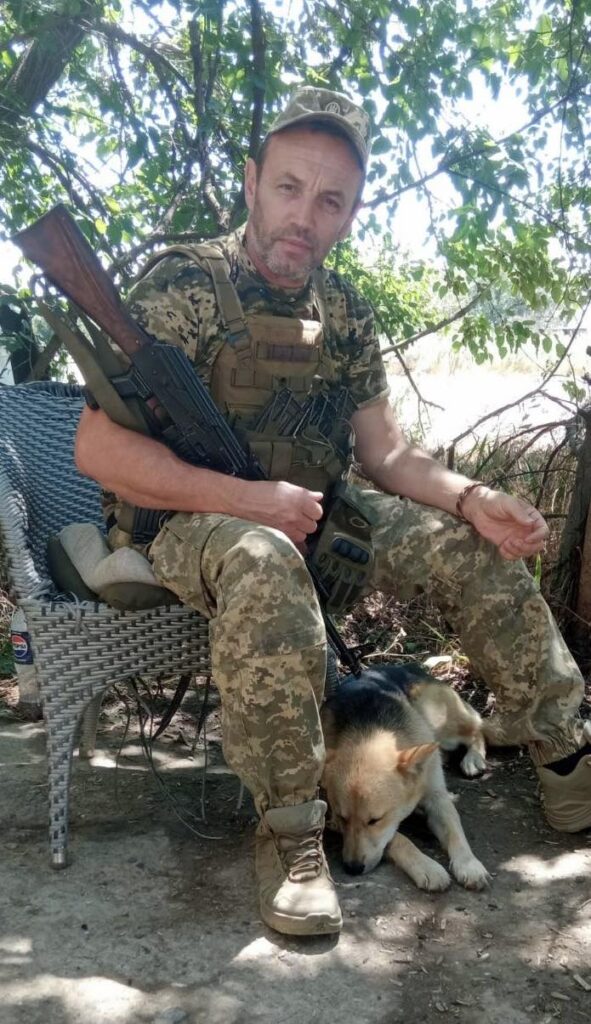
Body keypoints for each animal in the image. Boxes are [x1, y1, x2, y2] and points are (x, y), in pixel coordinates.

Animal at [320, 663, 490, 892]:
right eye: (341, 818)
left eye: (375, 820)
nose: (352, 868)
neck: (369, 728)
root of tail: (409, 666)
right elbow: (398, 838)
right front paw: (426, 866)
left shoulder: (437, 797)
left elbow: (455, 829)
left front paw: (468, 863)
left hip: (442, 721)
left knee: (478, 729)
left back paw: (474, 757)